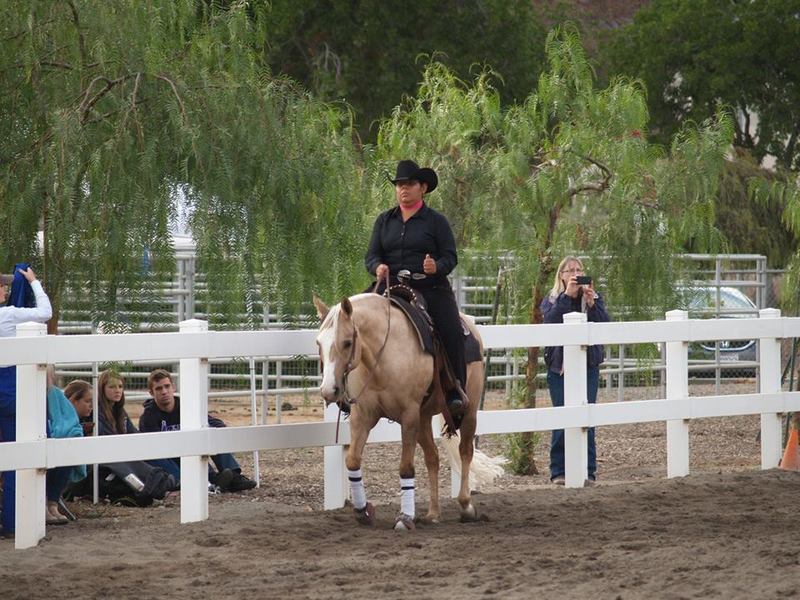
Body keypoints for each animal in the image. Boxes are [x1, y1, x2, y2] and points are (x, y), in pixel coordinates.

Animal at [314, 290, 490, 528]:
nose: (329, 390)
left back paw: (466, 506)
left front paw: (405, 518)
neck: (382, 355)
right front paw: (363, 511)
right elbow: (352, 460)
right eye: (318, 343)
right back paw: (433, 513)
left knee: (465, 451)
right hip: (424, 418)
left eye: (348, 342)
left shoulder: (408, 416)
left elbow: (406, 466)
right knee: (432, 458)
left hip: (468, 411)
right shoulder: (363, 417)